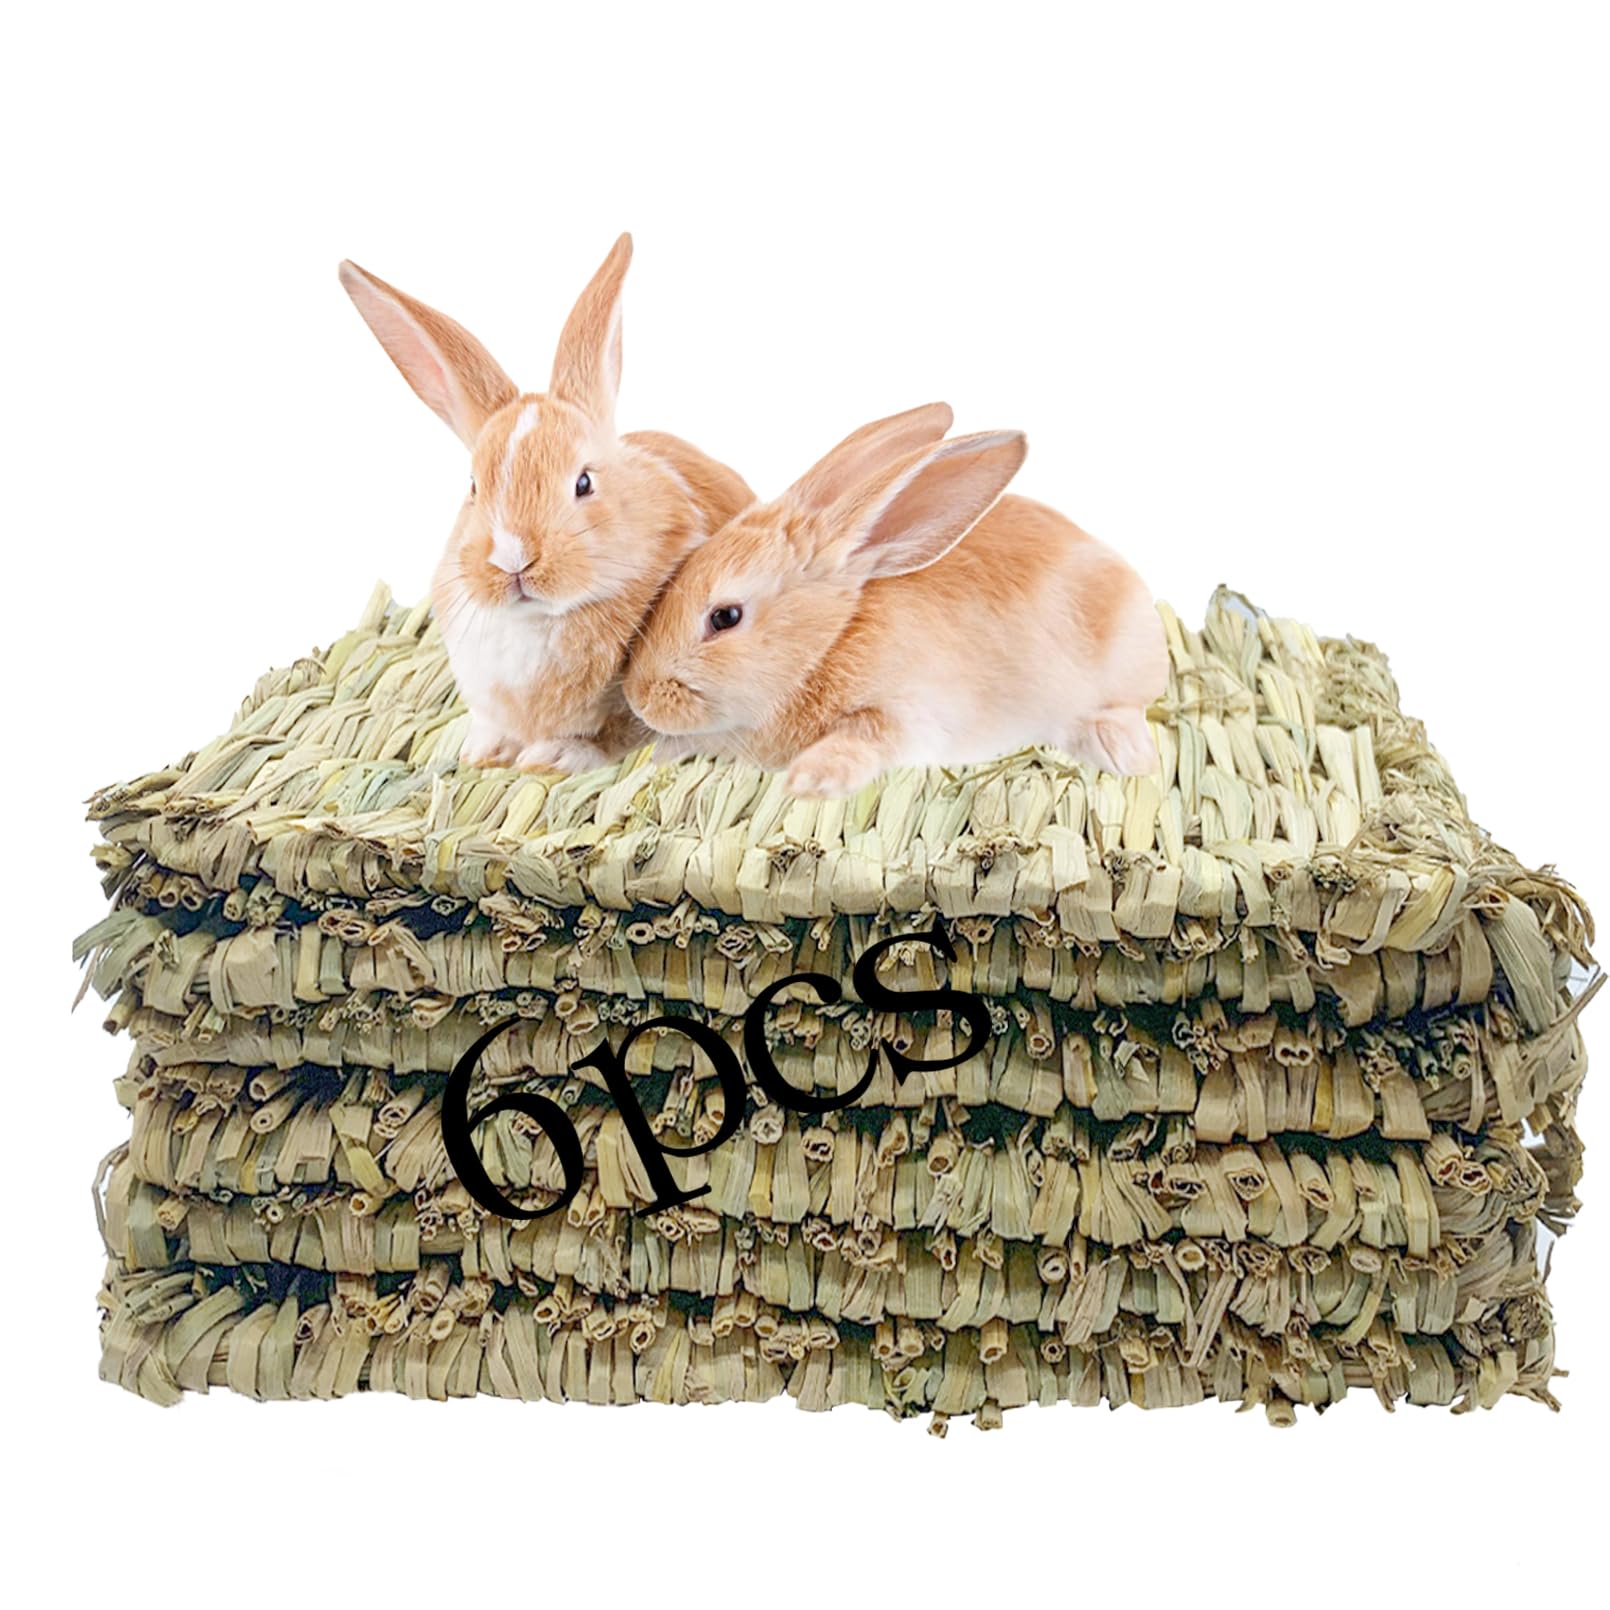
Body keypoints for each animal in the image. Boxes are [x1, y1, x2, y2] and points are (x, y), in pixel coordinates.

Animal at [339, 234, 754, 774]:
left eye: (584, 482)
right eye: (473, 486)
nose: (513, 558)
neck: (537, 620)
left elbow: (614, 735)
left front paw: (551, 757)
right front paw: (482, 753)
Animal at [622, 404, 1168, 797]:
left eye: (725, 617)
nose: (640, 699)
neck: (827, 643)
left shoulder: (907, 712)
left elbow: (864, 738)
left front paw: (812, 780)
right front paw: (665, 754)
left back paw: (1121, 751)